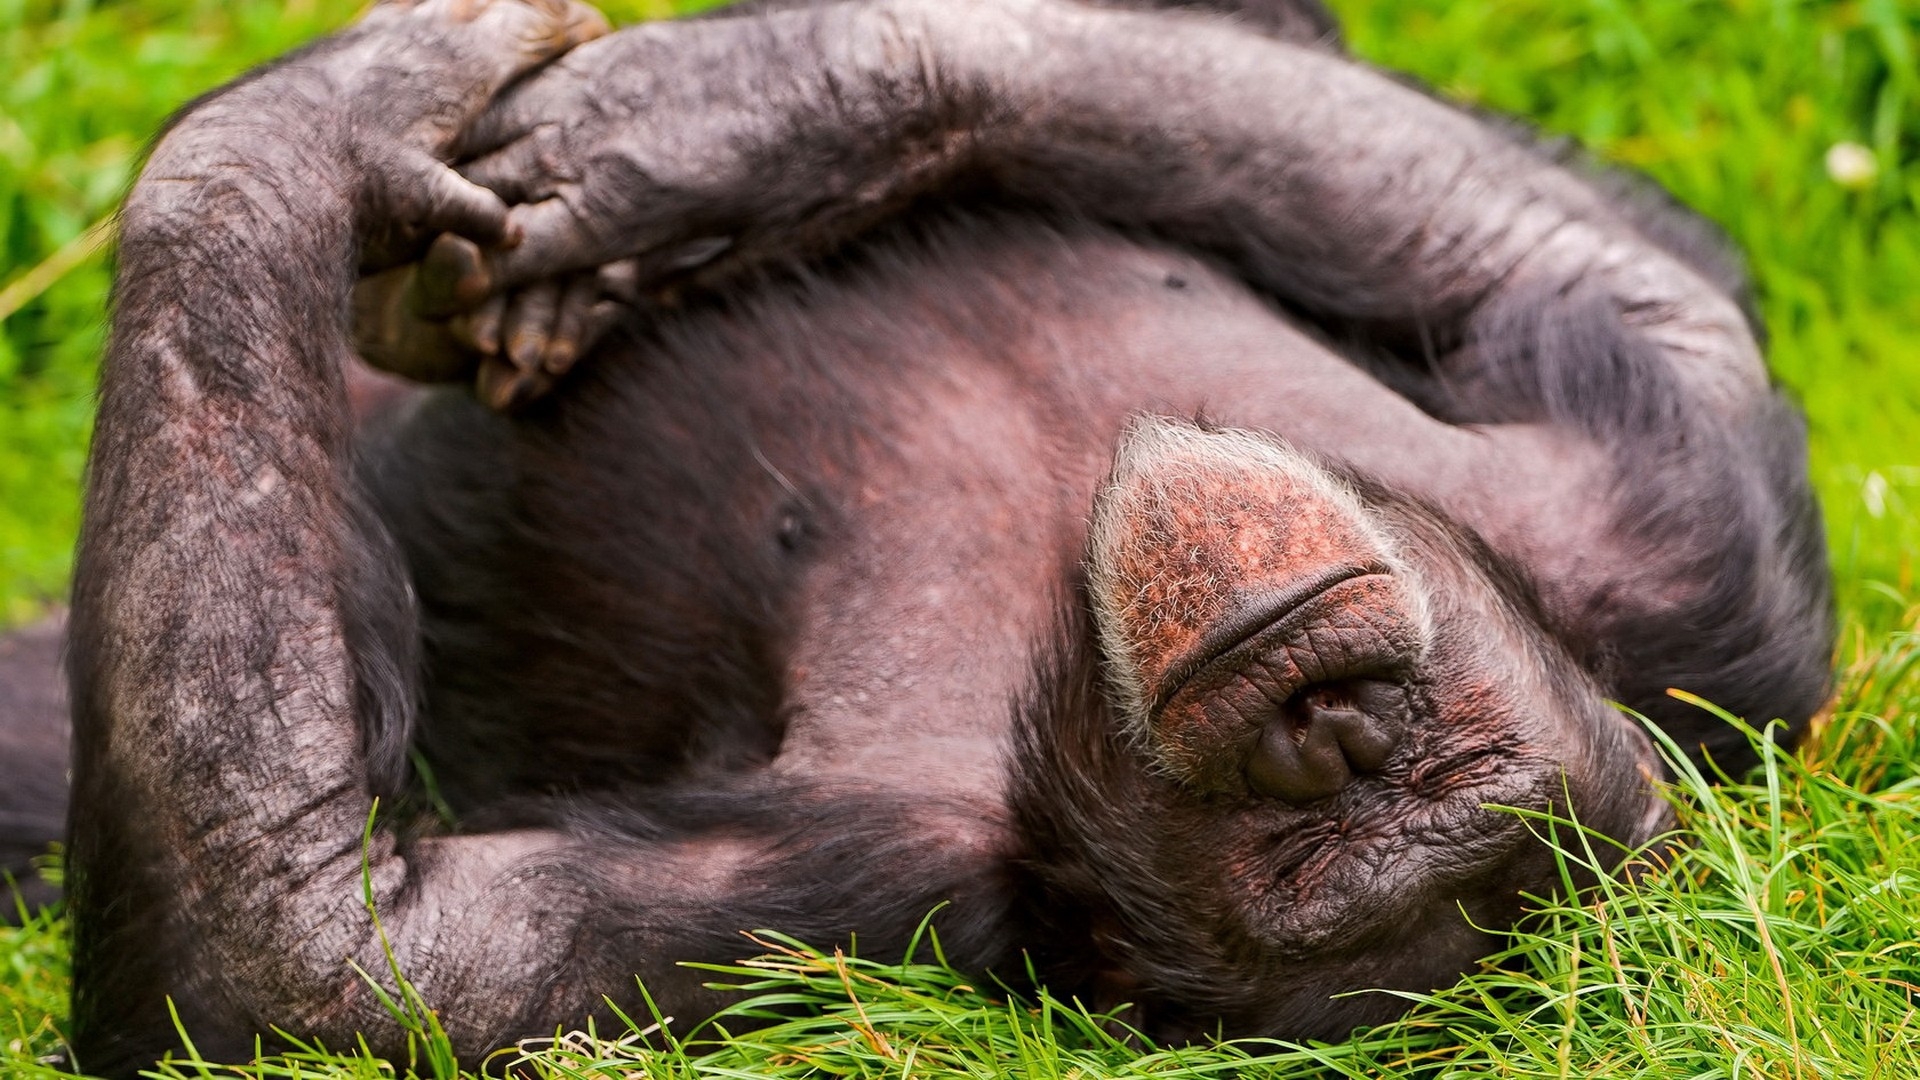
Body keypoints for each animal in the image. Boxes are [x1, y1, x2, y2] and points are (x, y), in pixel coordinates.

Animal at [4, 0, 1832, 1073]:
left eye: (1323, 858)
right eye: (1421, 758)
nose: (1328, 729)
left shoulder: (862, 895)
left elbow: (310, 955)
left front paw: (312, 126)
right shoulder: (1668, 523)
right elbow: (1594, 263)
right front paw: (739, 108)